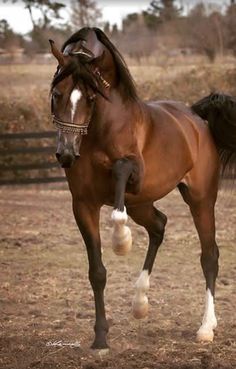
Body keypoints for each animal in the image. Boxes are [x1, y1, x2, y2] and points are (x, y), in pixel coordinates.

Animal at [48, 28, 236, 348]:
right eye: (57, 94)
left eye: (90, 96)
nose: (67, 153)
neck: (101, 131)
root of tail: (196, 118)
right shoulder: (83, 205)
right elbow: (97, 272)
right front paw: (100, 338)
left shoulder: (134, 175)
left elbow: (121, 173)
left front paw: (121, 240)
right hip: (141, 204)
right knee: (159, 225)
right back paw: (139, 303)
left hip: (199, 200)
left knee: (209, 256)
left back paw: (206, 327)